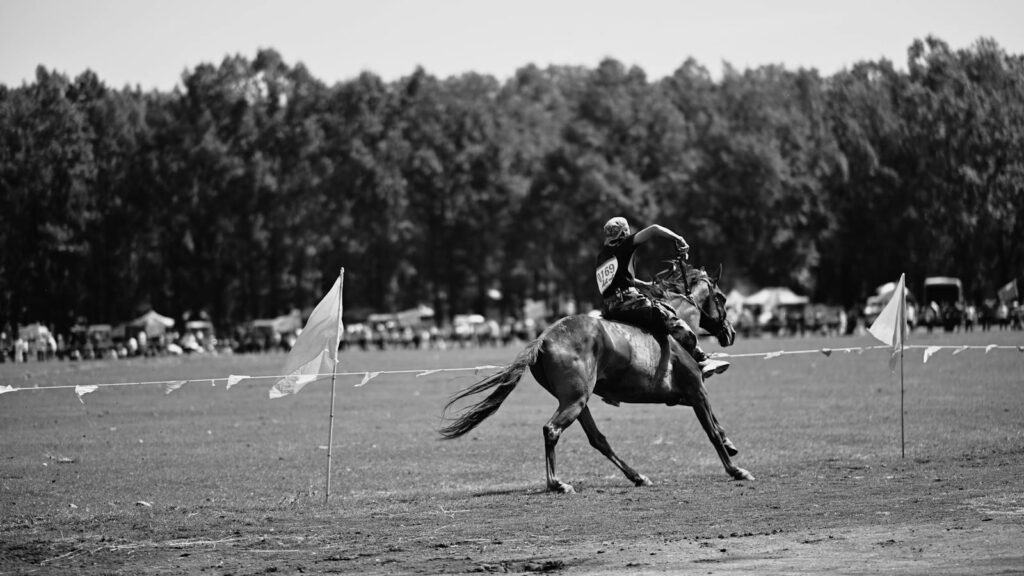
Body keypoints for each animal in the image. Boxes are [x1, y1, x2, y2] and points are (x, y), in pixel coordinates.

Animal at [440, 261, 754, 493]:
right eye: (722, 298)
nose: (730, 333)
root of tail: (543, 338)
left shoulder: (679, 396)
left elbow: (715, 424)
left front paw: (730, 445)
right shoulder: (695, 390)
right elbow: (711, 430)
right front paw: (735, 470)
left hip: (577, 401)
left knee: (598, 439)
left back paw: (637, 476)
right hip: (576, 400)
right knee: (552, 430)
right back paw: (557, 484)